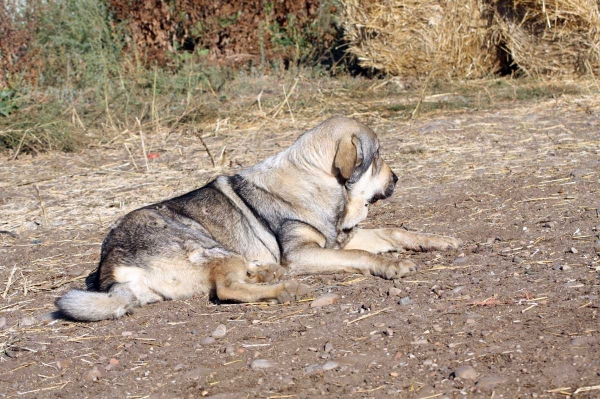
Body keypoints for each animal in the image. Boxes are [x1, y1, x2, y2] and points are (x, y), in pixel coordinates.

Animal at [56, 116, 460, 322]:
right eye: (377, 159)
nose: (397, 178)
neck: (320, 183)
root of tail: (111, 269)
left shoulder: (340, 238)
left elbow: (395, 231)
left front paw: (438, 240)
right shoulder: (303, 253)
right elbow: (363, 257)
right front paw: (391, 267)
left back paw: (269, 274)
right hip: (207, 244)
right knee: (227, 289)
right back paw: (284, 288)